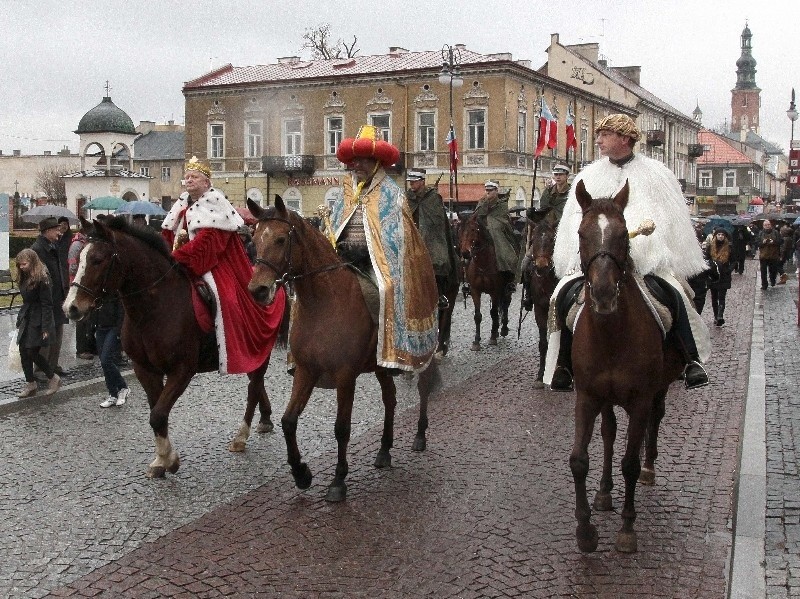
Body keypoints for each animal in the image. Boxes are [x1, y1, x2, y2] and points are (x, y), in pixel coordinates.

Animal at [64, 217, 286, 478]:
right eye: (79, 257)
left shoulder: (181, 371)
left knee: (254, 387)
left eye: (97, 259)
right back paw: (265, 419)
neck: (154, 308)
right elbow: (156, 412)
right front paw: (162, 458)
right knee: (256, 383)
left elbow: (158, 414)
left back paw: (241, 436)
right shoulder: (144, 369)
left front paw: (168, 460)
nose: (71, 307)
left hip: (261, 349)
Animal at [247, 199, 440, 504]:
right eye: (254, 240)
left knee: (423, 387)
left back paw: (420, 435)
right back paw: (384, 450)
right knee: (390, 400)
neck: (324, 303)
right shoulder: (306, 371)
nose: (258, 290)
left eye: (280, 239)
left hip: (422, 353)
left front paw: (338, 480)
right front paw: (301, 473)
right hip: (381, 366)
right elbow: (288, 421)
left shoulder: (345, 376)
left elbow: (341, 428)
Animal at [460, 211, 510, 352]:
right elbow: (478, 316)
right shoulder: (475, 291)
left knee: (505, 305)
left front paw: (492, 336)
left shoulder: (495, 291)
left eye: (473, 230)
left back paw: (502, 329)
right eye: (460, 230)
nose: (465, 253)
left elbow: (493, 312)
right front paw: (476, 341)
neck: (482, 263)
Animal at [568, 180, 680, 556]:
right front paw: (586, 530)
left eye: (623, 235)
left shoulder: (641, 400)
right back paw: (604, 492)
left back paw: (649, 467)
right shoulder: (587, 397)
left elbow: (628, 462)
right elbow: (579, 459)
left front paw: (627, 529)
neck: (612, 335)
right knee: (608, 433)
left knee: (654, 421)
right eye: (581, 233)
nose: (603, 294)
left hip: (659, 389)